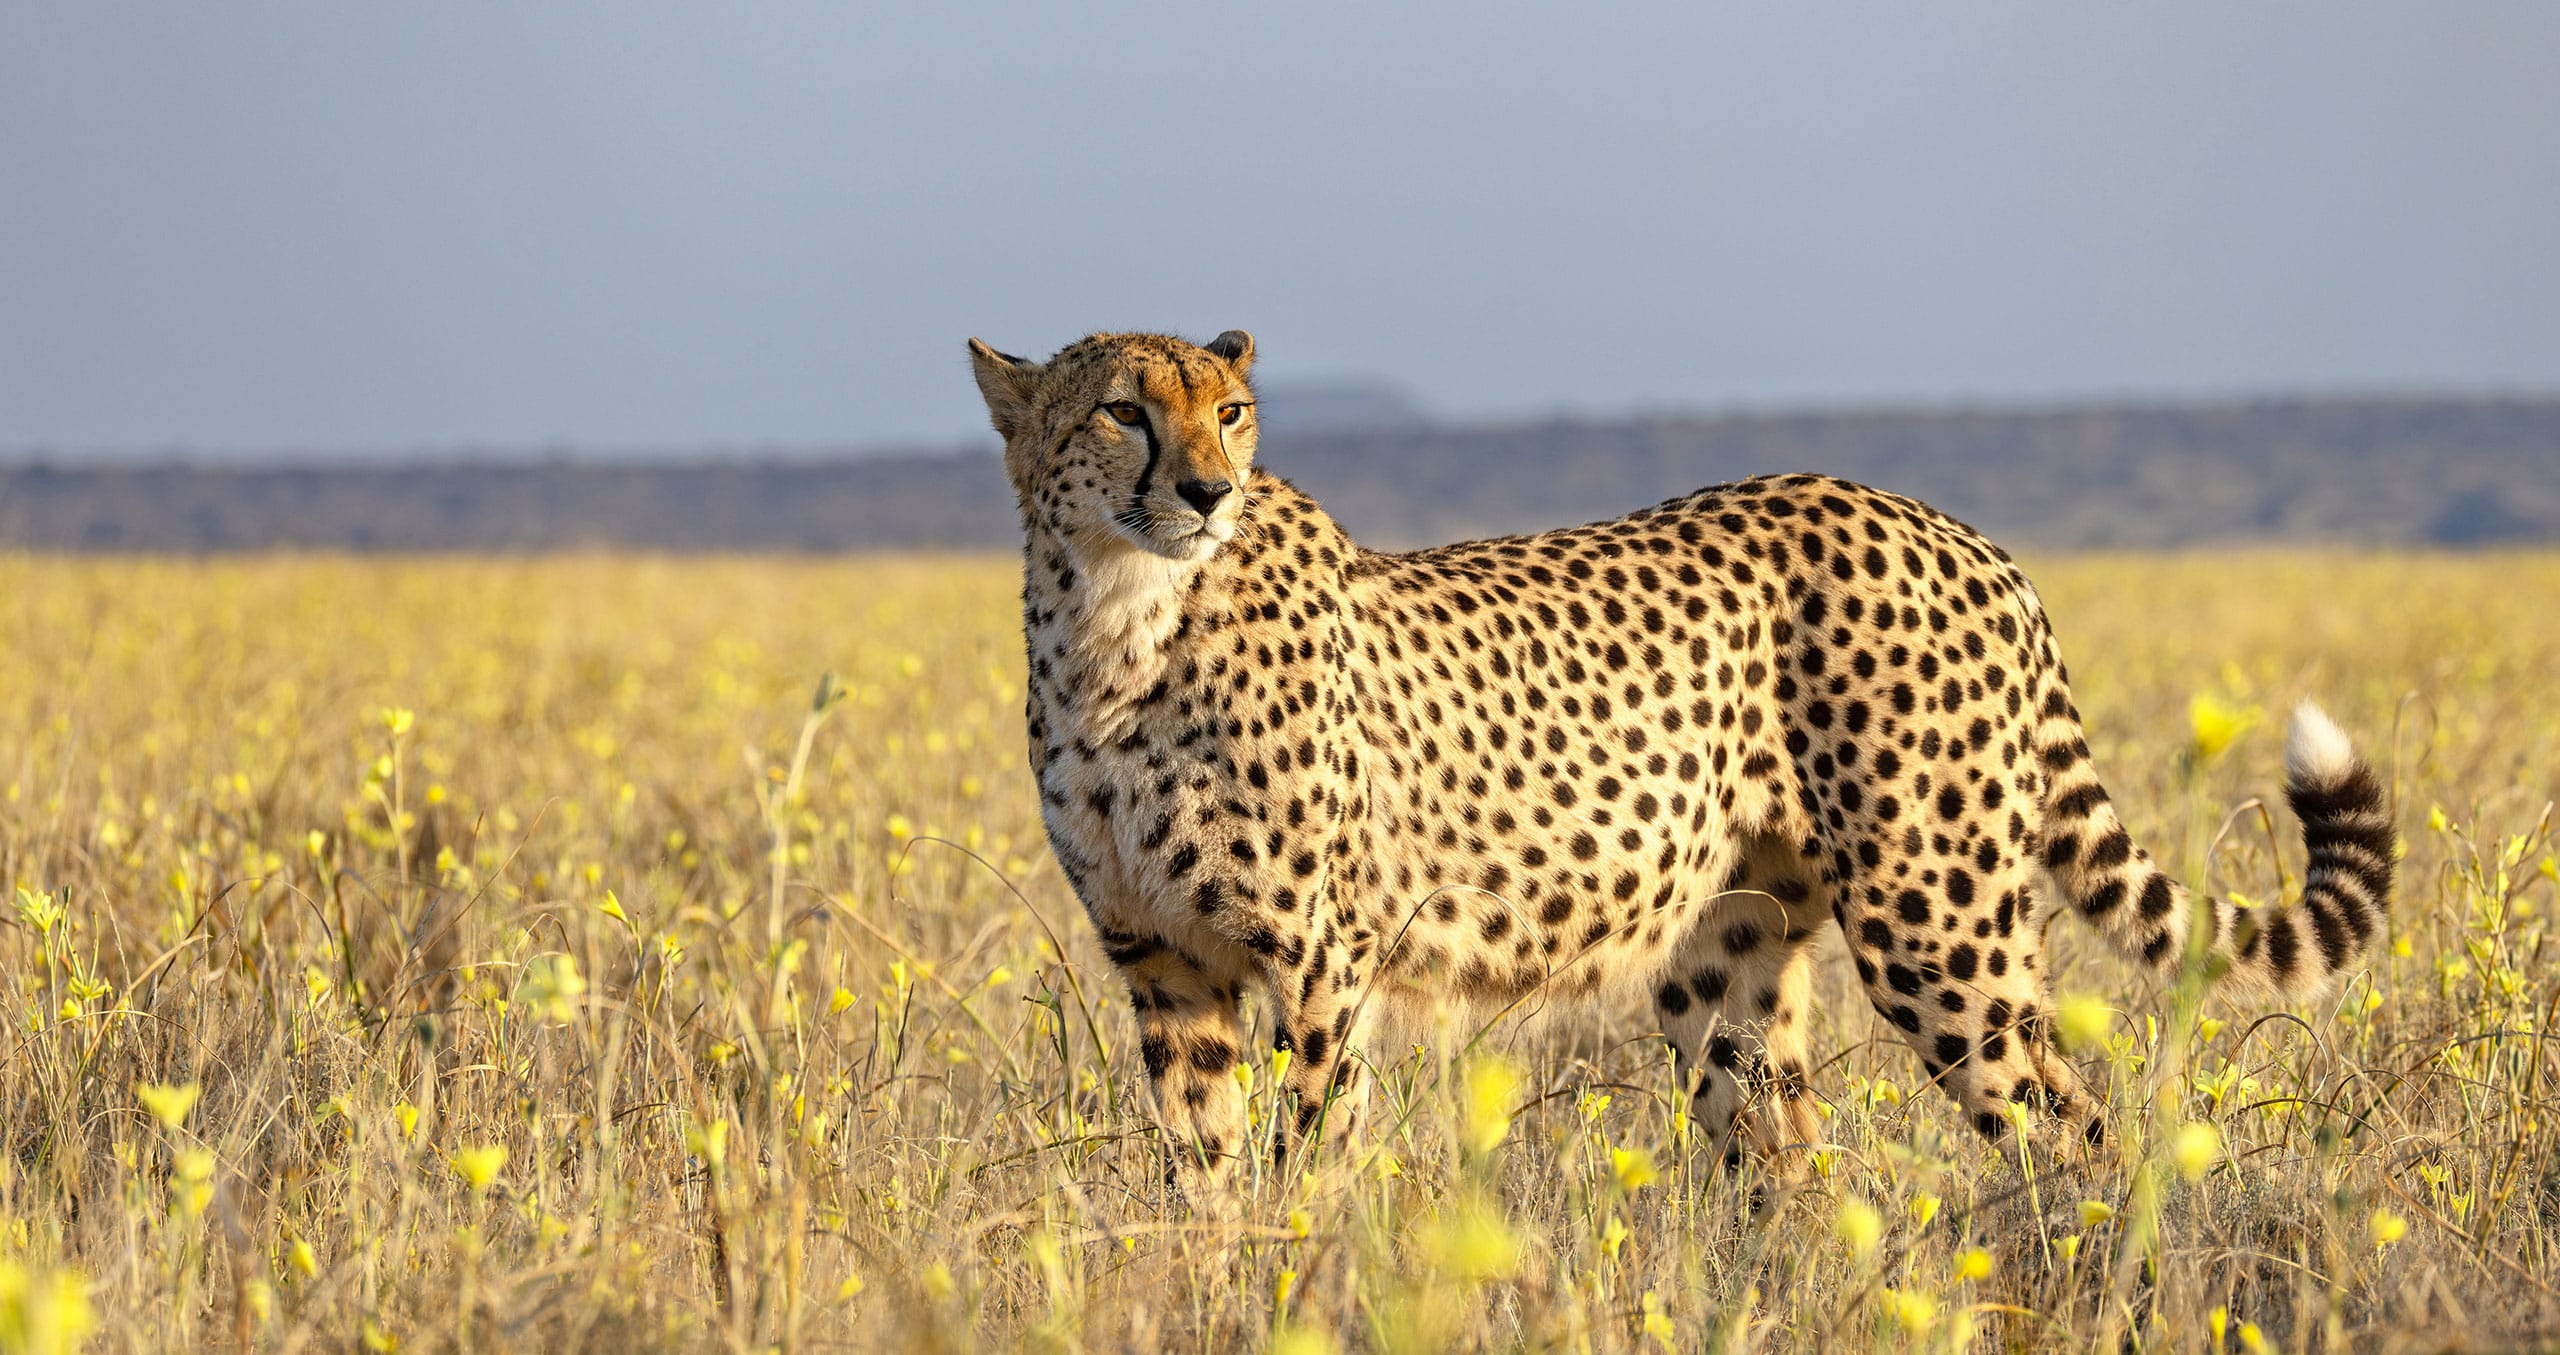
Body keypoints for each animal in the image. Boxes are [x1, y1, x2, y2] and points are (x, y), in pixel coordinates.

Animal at [966, 327, 2397, 1196]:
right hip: (1729, 957)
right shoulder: (1164, 962)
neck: (1119, 617)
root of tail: (1955, 528)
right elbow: (1200, 1174)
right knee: (1793, 1164)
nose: (1208, 491)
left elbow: (1309, 1156)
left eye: (1232, 412)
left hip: (1939, 930)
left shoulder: (1319, 957)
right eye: (1120, 410)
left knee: (2073, 1129)